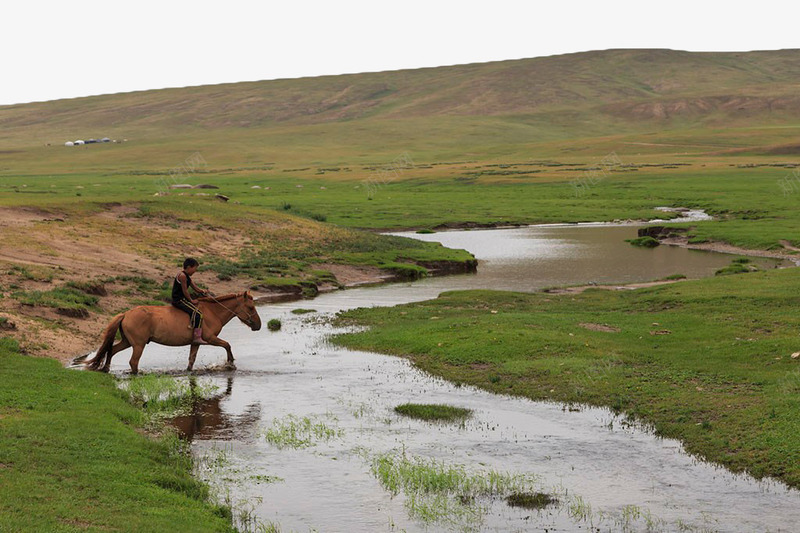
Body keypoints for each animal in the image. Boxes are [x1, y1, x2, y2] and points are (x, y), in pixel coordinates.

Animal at [86, 290, 264, 374]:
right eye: (251, 307)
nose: (258, 325)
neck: (212, 312)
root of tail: (126, 314)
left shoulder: (196, 342)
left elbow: (191, 360)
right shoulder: (210, 338)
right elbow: (227, 345)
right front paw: (230, 363)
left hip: (127, 342)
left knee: (111, 350)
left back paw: (106, 369)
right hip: (138, 345)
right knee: (133, 362)